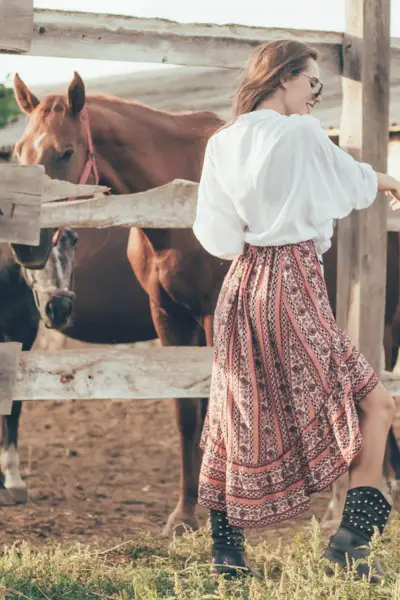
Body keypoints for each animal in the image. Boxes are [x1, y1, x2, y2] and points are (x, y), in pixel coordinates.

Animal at [12, 71, 400, 536]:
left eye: (65, 151)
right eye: (20, 152)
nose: (24, 244)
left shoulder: (215, 314)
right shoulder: (168, 316)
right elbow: (186, 413)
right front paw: (183, 514)